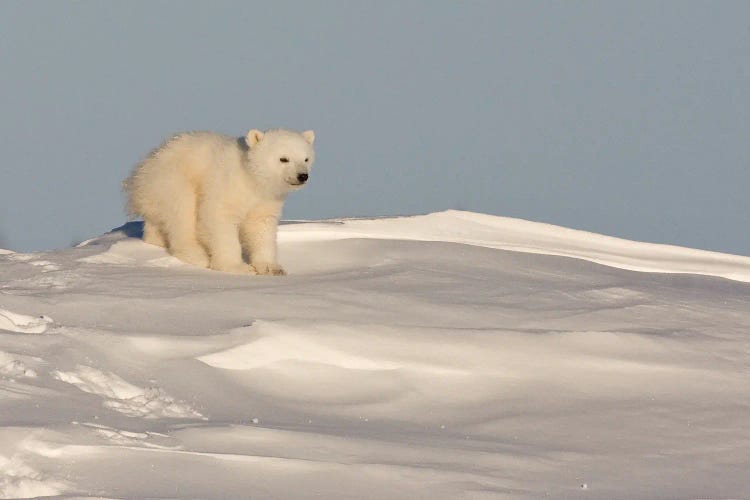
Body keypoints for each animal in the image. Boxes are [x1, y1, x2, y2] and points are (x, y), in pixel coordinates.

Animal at [123, 127, 314, 276]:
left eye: (306, 158)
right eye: (284, 158)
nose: (302, 176)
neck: (251, 178)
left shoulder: (266, 200)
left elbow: (261, 227)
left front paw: (271, 268)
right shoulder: (225, 186)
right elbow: (218, 219)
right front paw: (237, 267)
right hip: (174, 179)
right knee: (182, 212)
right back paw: (197, 255)